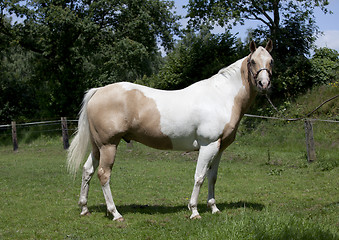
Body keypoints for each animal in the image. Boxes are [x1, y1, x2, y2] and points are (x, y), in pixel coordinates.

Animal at [66, 39, 274, 221]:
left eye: (271, 60)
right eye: (253, 61)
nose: (264, 84)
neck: (220, 97)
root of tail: (98, 91)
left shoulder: (219, 148)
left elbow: (212, 177)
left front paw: (214, 208)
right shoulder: (208, 146)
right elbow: (199, 177)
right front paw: (194, 211)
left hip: (98, 147)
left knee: (87, 171)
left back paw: (84, 209)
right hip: (109, 145)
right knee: (103, 174)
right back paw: (115, 213)